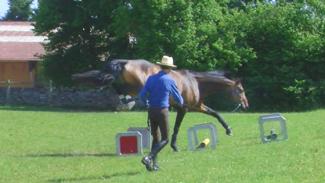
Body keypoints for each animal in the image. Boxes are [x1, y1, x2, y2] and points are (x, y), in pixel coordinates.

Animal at [71, 59, 248, 152]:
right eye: (240, 90)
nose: (246, 105)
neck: (195, 82)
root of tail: (125, 62)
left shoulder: (197, 107)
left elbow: (216, 113)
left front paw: (228, 129)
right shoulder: (183, 108)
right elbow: (176, 127)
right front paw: (174, 146)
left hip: (129, 86)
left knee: (113, 85)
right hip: (137, 85)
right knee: (114, 85)